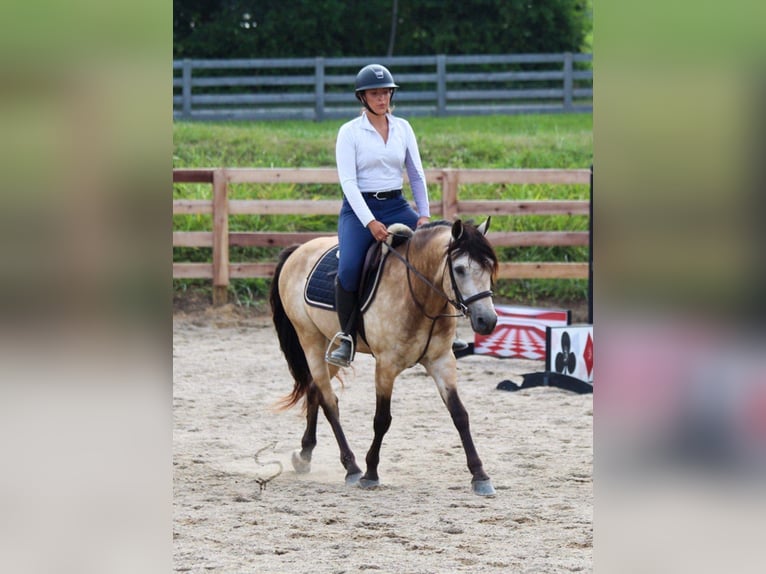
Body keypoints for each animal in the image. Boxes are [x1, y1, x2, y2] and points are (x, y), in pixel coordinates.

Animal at [272, 218, 504, 498]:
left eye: (489, 267)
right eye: (459, 269)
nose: (487, 320)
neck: (419, 295)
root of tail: (297, 250)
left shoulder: (442, 362)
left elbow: (460, 415)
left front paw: (480, 475)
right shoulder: (386, 366)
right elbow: (382, 419)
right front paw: (370, 473)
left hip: (329, 348)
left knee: (314, 389)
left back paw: (305, 455)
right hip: (310, 341)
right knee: (329, 402)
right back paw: (352, 467)